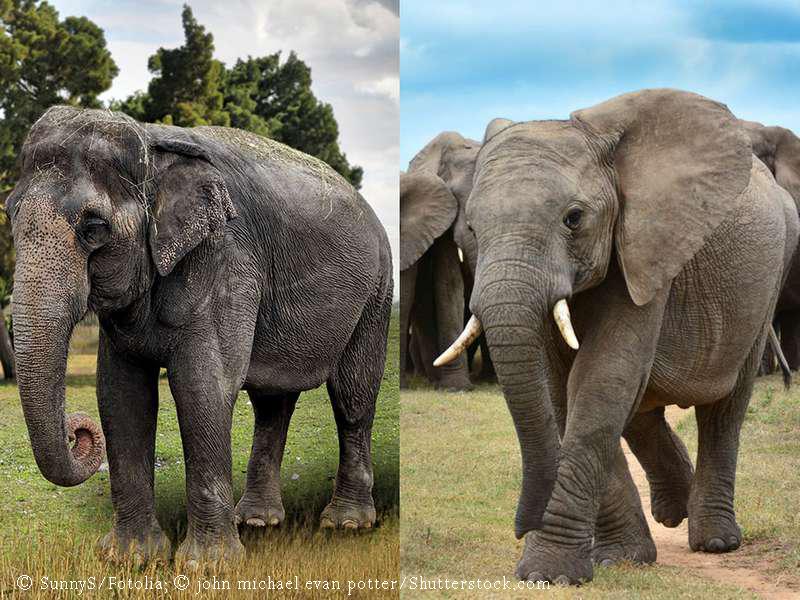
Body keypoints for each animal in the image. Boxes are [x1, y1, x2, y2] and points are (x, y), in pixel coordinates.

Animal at [6, 106, 393, 564]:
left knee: (353, 396)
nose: (77, 432)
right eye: (10, 214)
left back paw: (346, 524)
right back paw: (258, 521)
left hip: (375, 294)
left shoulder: (226, 260)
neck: (153, 141)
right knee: (272, 402)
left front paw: (206, 567)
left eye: (94, 228)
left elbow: (202, 385)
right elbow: (121, 393)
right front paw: (130, 558)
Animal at [434, 89, 798, 584]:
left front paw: (548, 574)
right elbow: (565, 391)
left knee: (724, 409)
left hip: (769, 281)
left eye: (573, 218)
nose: (521, 527)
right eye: (471, 227)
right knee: (641, 406)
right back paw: (673, 509)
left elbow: (600, 380)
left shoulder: (649, 247)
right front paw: (620, 559)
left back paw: (716, 540)